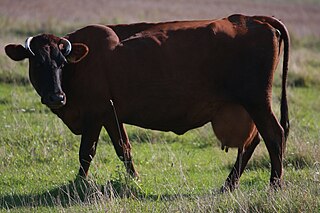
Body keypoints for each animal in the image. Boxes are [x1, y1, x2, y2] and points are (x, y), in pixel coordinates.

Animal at [4, 14, 290, 191]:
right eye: (37, 63)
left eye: (62, 63)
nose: (56, 96)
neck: (82, 63)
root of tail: (251, 18)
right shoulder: (110, 114)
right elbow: (124, 148)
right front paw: (135, 179)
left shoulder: (94, 114)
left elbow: (87, 151)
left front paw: (79, 183)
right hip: (249, 106)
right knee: (253, 141)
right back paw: (229, 184)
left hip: (257, 101)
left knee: (274, 135)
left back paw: (274, 184)